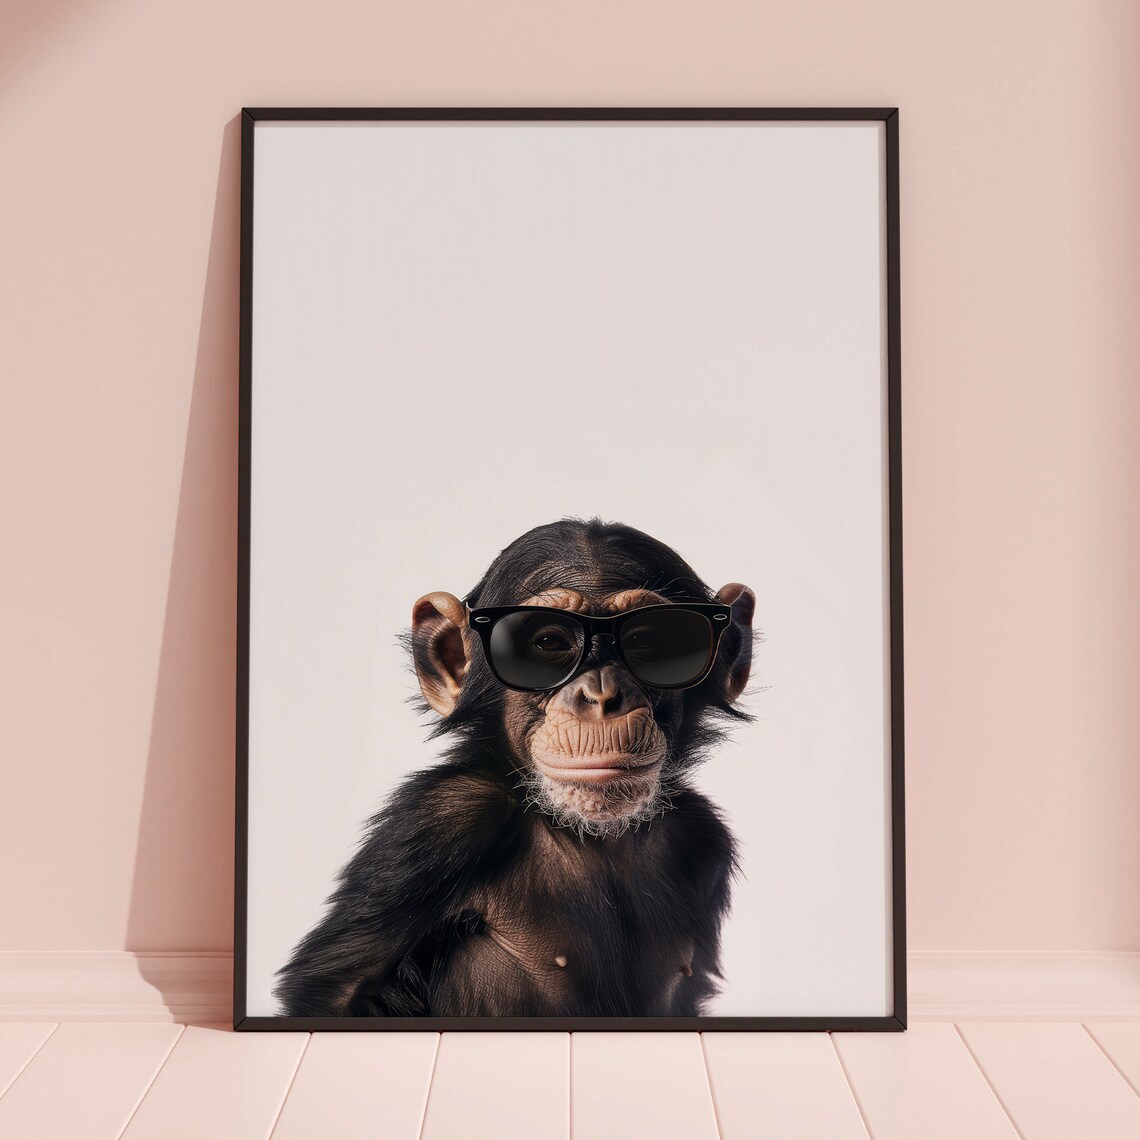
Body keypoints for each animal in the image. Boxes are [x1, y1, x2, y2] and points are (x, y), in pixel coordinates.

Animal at [275, 517, 755, 1018]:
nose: (603, 696)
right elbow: (339, 995)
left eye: (646, 640)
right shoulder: (444, 817)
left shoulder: (703, 836)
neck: (583, 831)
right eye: (549, 642)